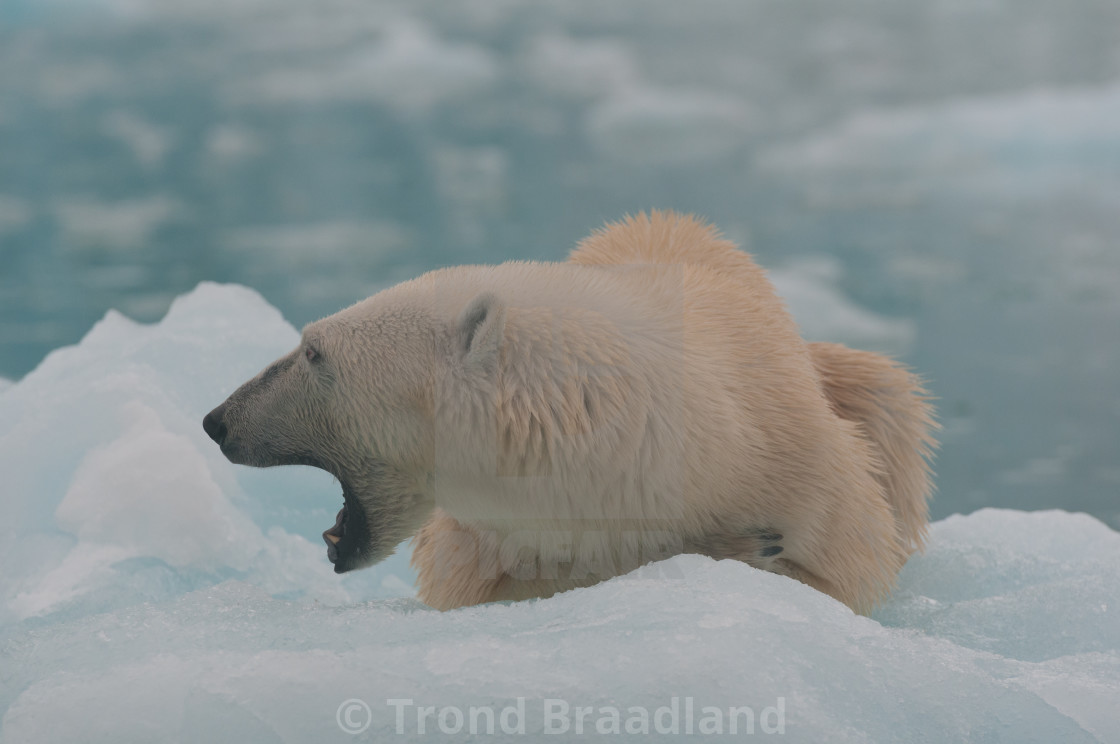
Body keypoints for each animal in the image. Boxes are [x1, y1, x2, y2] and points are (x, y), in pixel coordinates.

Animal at [203, 209, 936, 609]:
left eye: (313, 352)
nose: (218, 421)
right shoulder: (479, 544)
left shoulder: (807, 469)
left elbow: (850, 571)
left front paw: (753, 547)